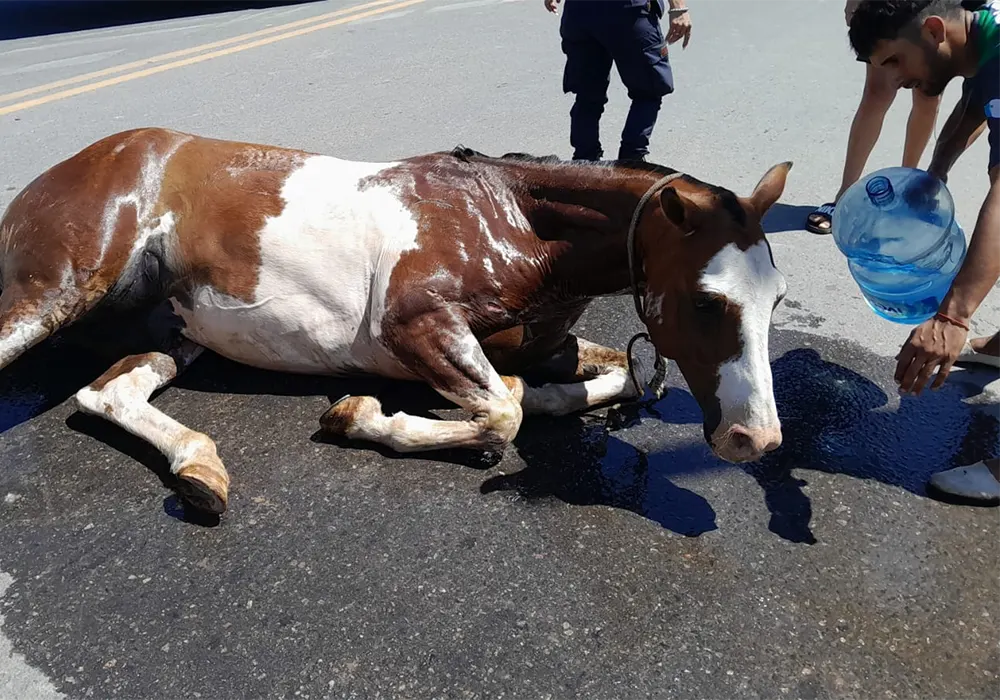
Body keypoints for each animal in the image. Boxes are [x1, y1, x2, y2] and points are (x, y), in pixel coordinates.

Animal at [0, 127, 791, 516]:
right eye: (706, 299)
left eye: (777, 299)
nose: (755, 439)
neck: (511, 220)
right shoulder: (414, 326)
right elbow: (502, 413)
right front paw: (358, 415)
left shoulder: (549, 347)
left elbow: (606, 378)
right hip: (55, 294)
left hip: (175, 331)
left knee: (105, 393)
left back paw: (200, 470)